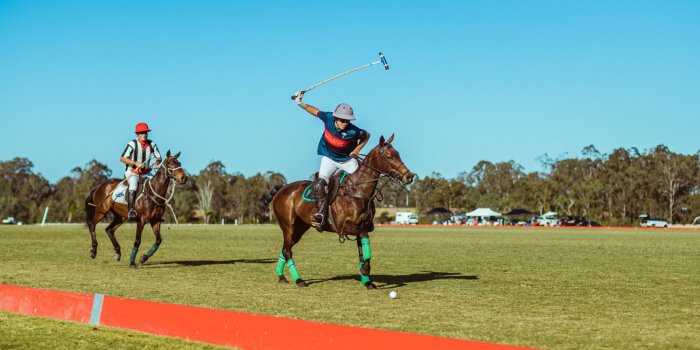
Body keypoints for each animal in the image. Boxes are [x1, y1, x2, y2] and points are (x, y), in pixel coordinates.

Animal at [268, 135, 410, 288]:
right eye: (389, 156)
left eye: (398, 154)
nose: (409, 176)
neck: (357, 191)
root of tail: (280, 190)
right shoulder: (344, 226)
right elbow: (364, 246)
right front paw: (365, 271)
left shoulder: (362, 226)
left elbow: (362, 251)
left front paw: (367, 281)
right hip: (288, 226)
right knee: (287, 251)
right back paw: (299, 280)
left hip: (300, 227)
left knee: (285, 248)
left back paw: (281, 276)